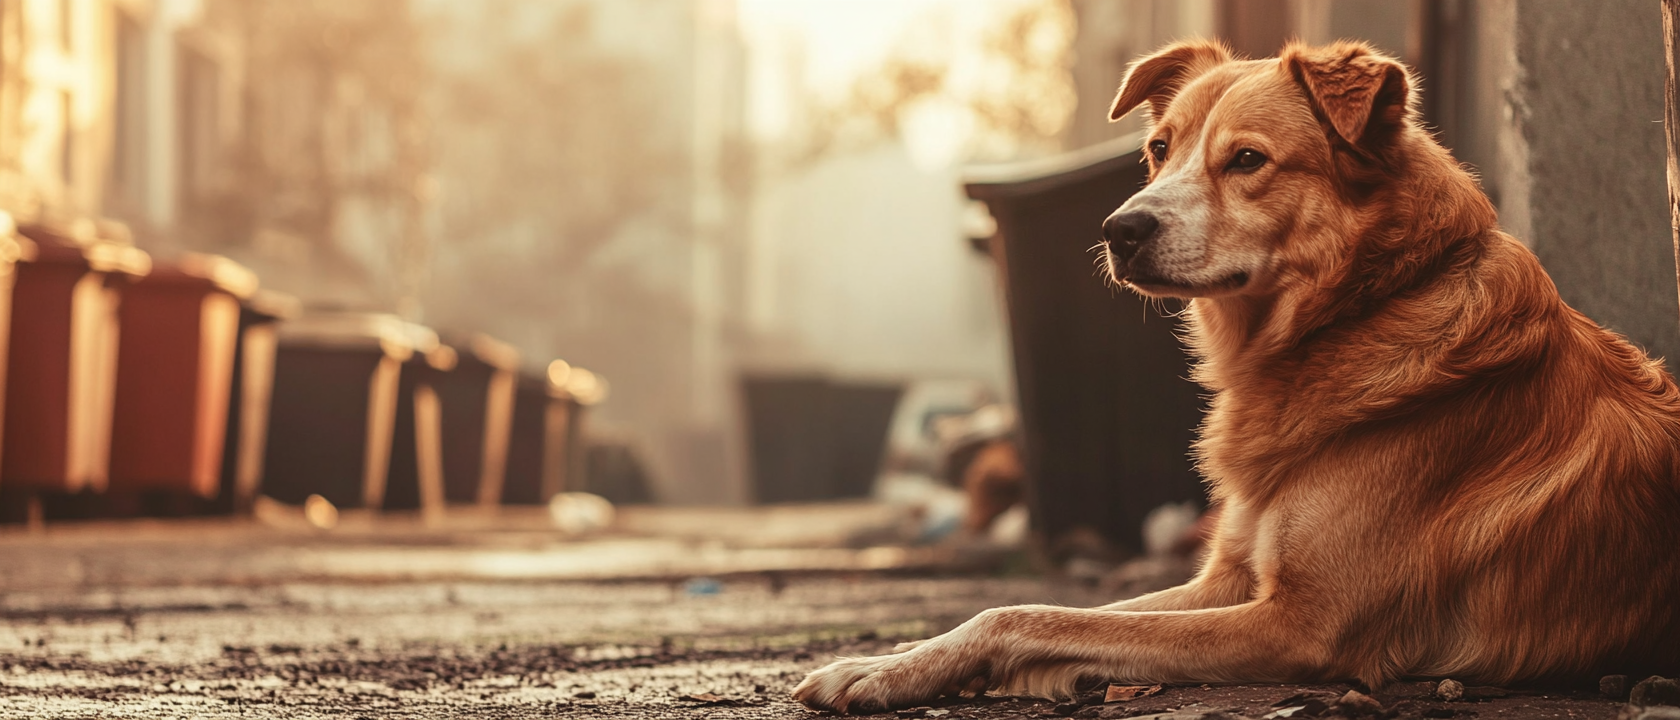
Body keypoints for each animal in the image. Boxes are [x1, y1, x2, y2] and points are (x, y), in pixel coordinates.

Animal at [792, 40, 1680, 711]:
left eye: (1247, 160)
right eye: (1158, 152)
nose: (1119, 229)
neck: (1363, 312)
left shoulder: (1302, 622)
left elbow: (1031, 612)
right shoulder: (1228, 578)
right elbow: (1028, 608)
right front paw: (888, 664)